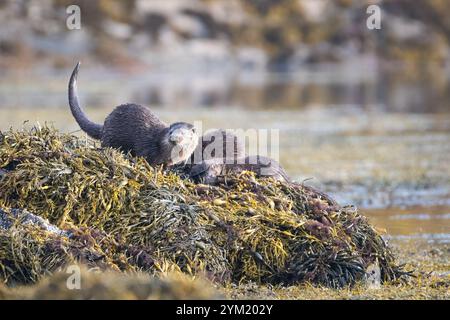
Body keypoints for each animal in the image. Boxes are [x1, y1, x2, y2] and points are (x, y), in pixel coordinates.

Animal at [68, 63, 197, 168]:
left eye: (182, 133)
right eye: (171, 132)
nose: (173, 138)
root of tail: (105, 125)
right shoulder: (147, 148)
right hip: (110, 138)